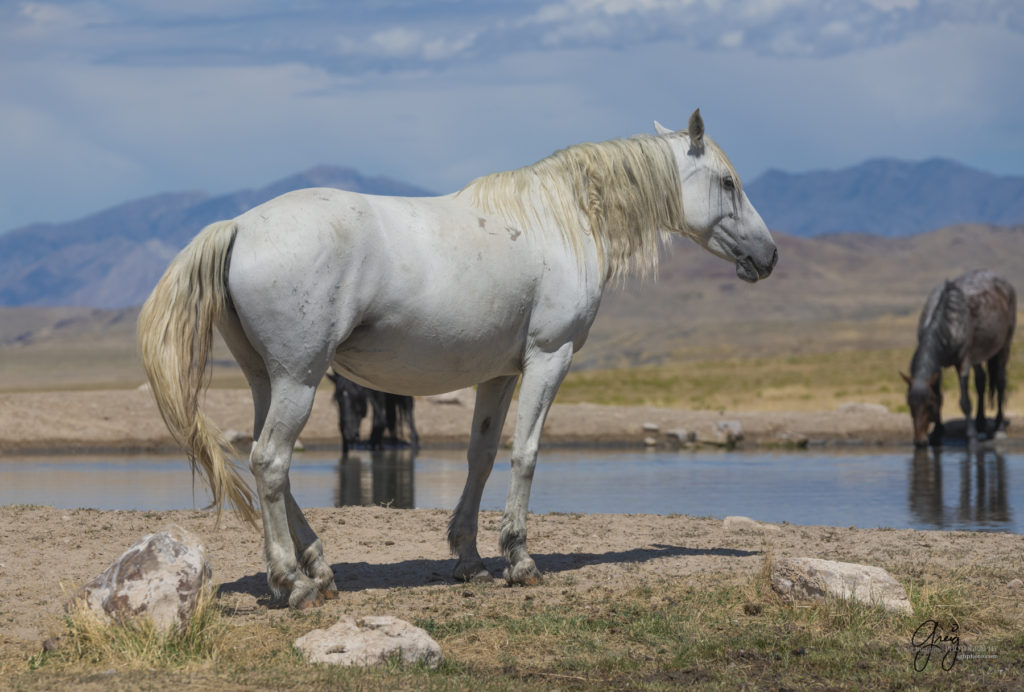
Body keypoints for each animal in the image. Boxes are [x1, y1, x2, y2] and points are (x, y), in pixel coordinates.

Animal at [138, 107, 774, 606]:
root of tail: (239, 226)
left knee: (267, 460)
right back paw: (293, 583)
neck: (560, 220)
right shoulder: (550, 358)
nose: (768, 256)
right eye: (727, 182)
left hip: (267, 379)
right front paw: (519, 560)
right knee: (271, 461)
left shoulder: (498, 375)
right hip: (300, 377)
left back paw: (320, 568)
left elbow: (482, 456)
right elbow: (526, 453)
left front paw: (468, 558)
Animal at [905, 268, 1015, 446]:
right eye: (909, 404)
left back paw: (998, 427)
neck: (949, 322)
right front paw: (937, 433)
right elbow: (940, 396)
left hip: (1004, 348)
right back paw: (980, 424)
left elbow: (965, 402)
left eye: (928, 404)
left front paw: (971, 436)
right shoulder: (939, 367)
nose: (920, 441)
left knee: (1000, 383)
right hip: (977, 356)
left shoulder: (963, 363)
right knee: (981, 381)